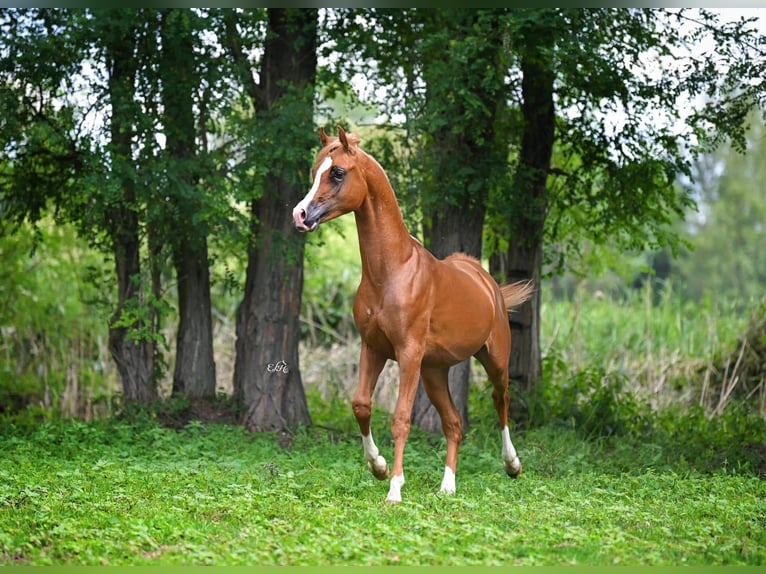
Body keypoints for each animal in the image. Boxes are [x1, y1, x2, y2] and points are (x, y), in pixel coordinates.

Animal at [294, 126, 536, 504]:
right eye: (316, 170)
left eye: (338, 173)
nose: (300, 215)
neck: (392, 272)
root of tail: (486, 281)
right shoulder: (373, 348)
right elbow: (361, 405)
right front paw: (377, 467)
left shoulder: (407, 353)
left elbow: (401, 418)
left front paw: (394, 488)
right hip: (434, 372)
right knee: (453, 422)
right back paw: (447, 486)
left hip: (494, 359)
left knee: (501, 400)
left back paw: (512, 464)